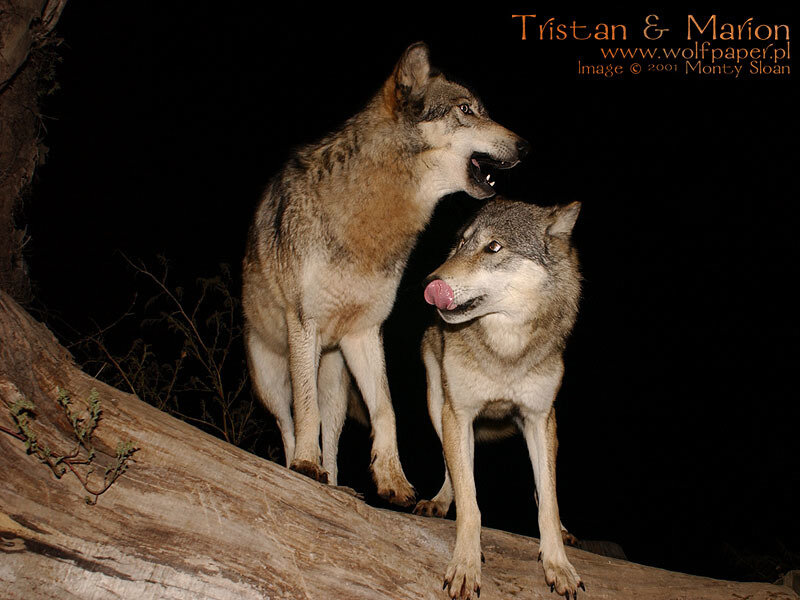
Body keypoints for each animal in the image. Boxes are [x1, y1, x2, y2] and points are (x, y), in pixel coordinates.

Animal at [242, 42, 528, 505]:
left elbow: (385, 411)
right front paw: (304, 464)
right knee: (289, 421)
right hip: (270, 378)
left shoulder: (365, 332)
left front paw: (393, 479)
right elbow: (305, 411)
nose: (525, 146)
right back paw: (300, 465)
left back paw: (336, 484)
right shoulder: (304, 323)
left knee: (331, 433)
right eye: (466, 109)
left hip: (336, 383)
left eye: (480, 109)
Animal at [414, 198, 584, 598]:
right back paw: (441, 501)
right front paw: (465, 566)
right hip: (436, 407)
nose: (429, 284)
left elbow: (548, 501)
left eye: (493, 247)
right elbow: (470, 503)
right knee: (452, 469)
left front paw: (558, 565)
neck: (506, 350)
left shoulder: (540, 418)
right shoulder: (458, 413)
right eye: (461, 243)